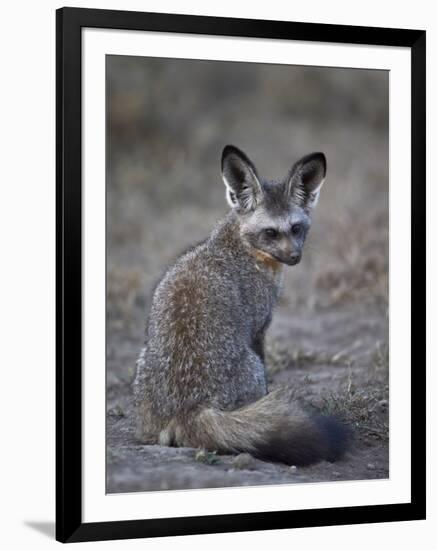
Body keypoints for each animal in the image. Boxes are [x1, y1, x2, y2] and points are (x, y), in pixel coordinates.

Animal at [132, 146, 348, 466]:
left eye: (296, 229)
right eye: (271, 232)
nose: (295, 257)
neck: (239, 247)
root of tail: (189, 407)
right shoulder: (259, 329)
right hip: (253, 366)